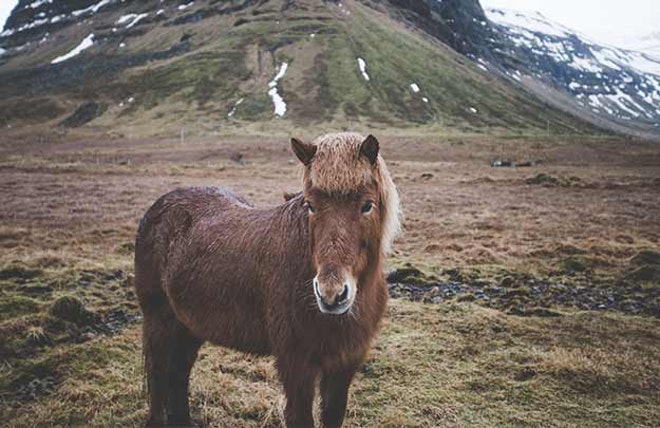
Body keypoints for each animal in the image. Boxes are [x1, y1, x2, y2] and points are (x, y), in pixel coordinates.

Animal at [135, 132, 402, 426]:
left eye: (367, 205)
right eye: (310, 205)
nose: (331, 295)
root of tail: (160, 206)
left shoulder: (344, 365)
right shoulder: (296, 366)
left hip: (189, 325)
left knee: (179, 373)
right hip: (159, 320)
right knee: (159, 375)